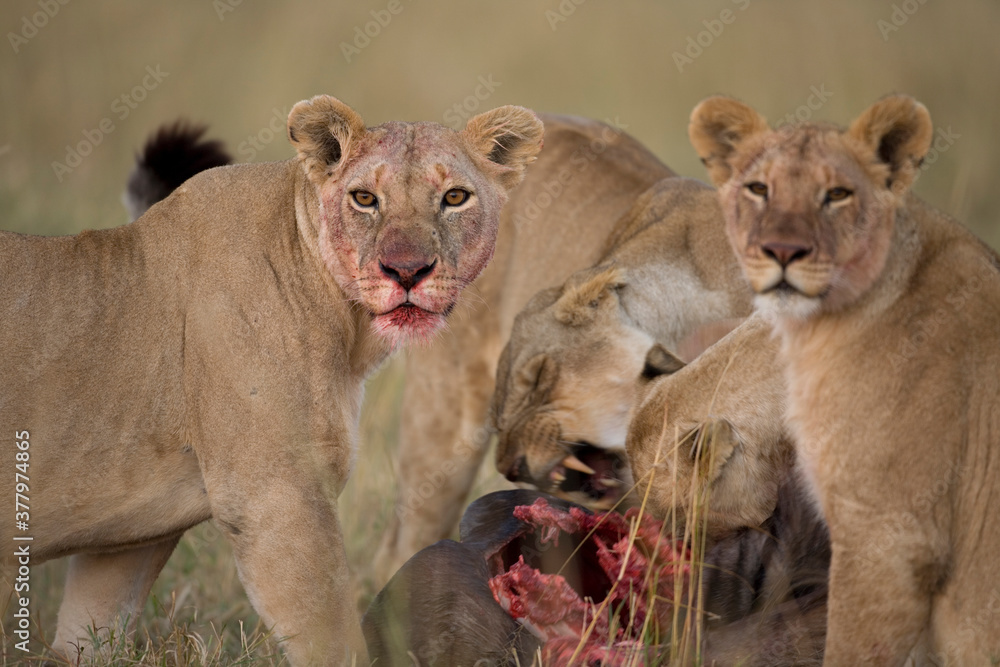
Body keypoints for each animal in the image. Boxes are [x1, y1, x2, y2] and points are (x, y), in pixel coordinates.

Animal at [0, 95, 543, 665]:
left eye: (454, 197)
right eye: (364, 198)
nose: (407, 270)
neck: (348, 330)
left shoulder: (123, 546)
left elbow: (87, 635)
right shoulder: (276, 499)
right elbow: (335, 639)